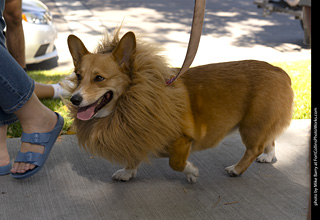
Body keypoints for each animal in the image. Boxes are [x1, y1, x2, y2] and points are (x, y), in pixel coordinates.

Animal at [63, 30, 296, 183]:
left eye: (99, 78)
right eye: (78, 76)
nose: (74, 99)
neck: (135, 98)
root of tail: (279, 71)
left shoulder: (182, 140)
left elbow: (175, 163)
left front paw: (191, 171)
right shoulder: (138, 134)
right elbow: (134, 155)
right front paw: (128, 172)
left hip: (251, 125)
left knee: (254, 148)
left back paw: (237, 169)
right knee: (269, 139)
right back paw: (268, 156)